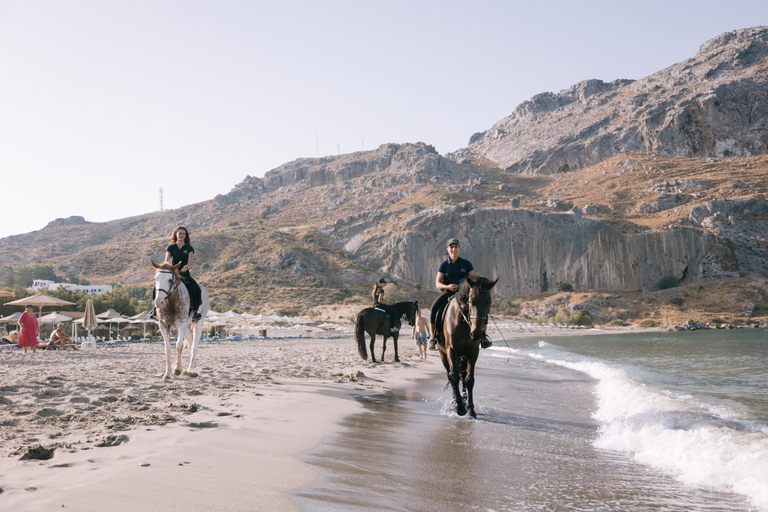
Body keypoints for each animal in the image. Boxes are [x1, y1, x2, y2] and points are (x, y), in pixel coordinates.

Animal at [438, 276, 498, 416]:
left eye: (489, 303)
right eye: (471, 301)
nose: (476, 333)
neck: (464, 322)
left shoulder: (472, 352)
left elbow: (469, 379)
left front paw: (470, 409)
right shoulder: (451, 350)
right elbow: (454, 377)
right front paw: (460, 408)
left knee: (463, 375)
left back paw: (464, 400)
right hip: (443, 354)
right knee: (450, 375)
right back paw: (456, 401)